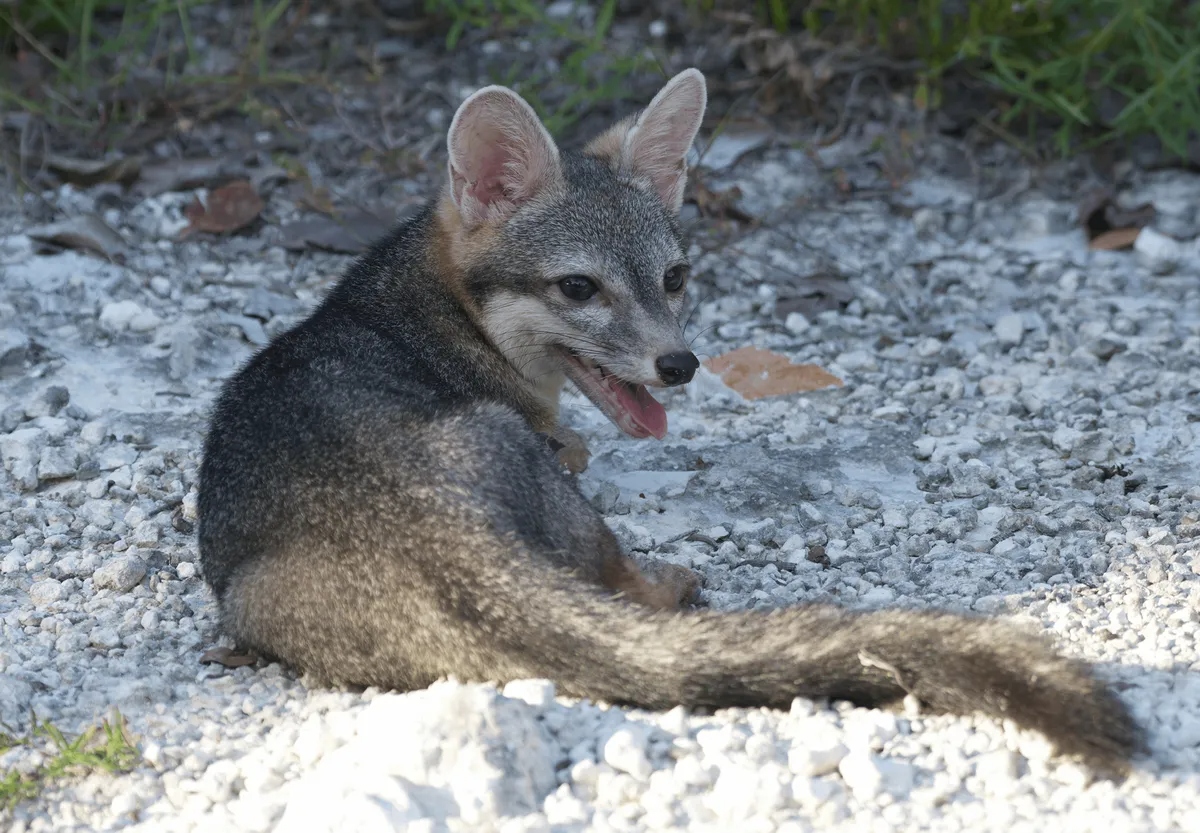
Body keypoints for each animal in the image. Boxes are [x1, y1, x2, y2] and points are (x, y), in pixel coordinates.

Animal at [197, 69, 1141, 777]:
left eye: (676, 277)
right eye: (579, 288)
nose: (679, 364)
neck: (424, 310)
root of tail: (438, 533)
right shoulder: (557, 444)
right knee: (621, 577)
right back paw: (670, 583)